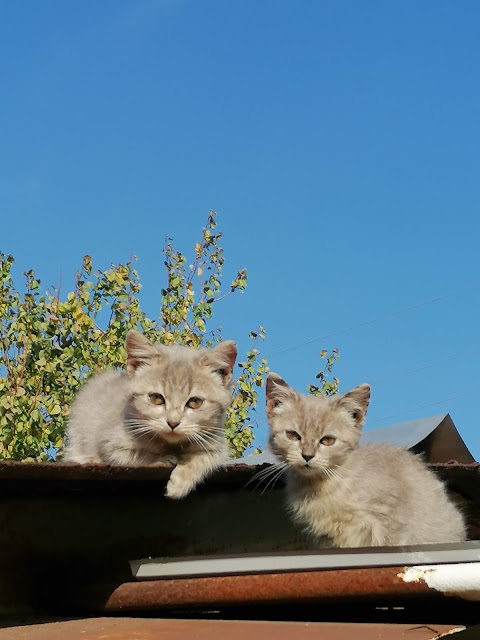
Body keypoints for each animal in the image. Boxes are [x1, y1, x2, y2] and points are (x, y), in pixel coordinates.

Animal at [64, 330, 237, 500]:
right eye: (156, 398)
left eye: (195, 402)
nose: (173, 423)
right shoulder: (110, 443)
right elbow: (138, 457)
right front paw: (163, 459)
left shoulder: (216, 447)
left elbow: (201, 459)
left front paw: (180, 483)